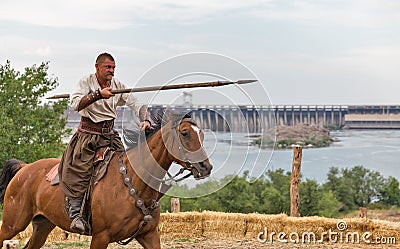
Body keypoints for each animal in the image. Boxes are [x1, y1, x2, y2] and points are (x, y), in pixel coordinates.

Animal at [0, 115, 212, 248]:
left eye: (201, 134)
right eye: (184, 133)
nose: (205, 166)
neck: (131, 183)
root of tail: (24, 168)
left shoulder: (149, 235)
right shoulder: (101, 237)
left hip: (42, 225)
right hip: (12, 224)